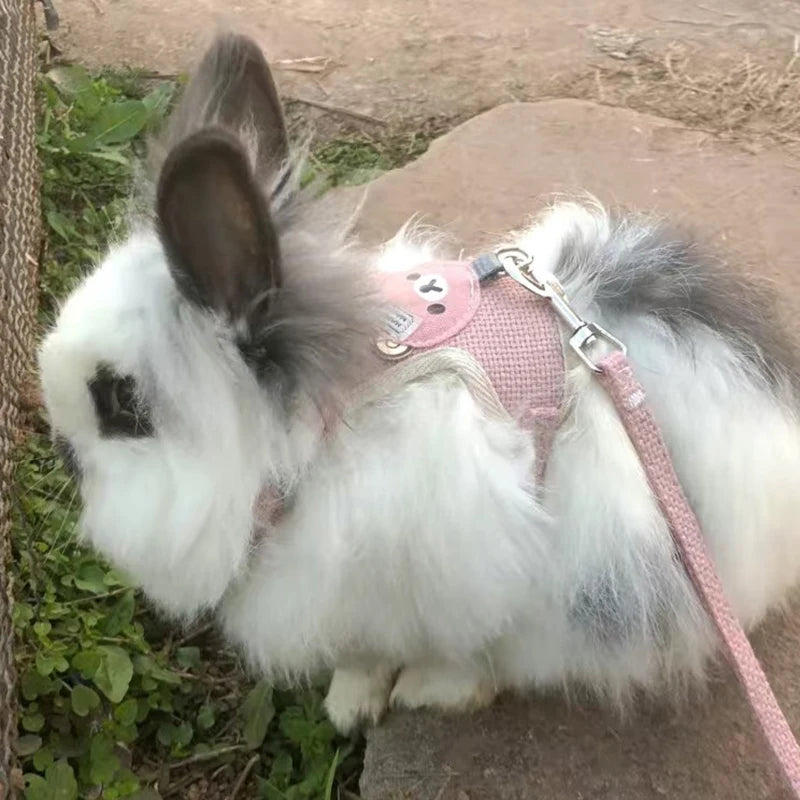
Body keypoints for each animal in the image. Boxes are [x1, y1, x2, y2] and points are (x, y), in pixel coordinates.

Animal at [39, 31, 800, 736]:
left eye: (123, 402)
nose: (65, 456)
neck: (320, 435)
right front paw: (351, 701)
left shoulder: (467, 570)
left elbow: (440, 649)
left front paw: (401, 696)